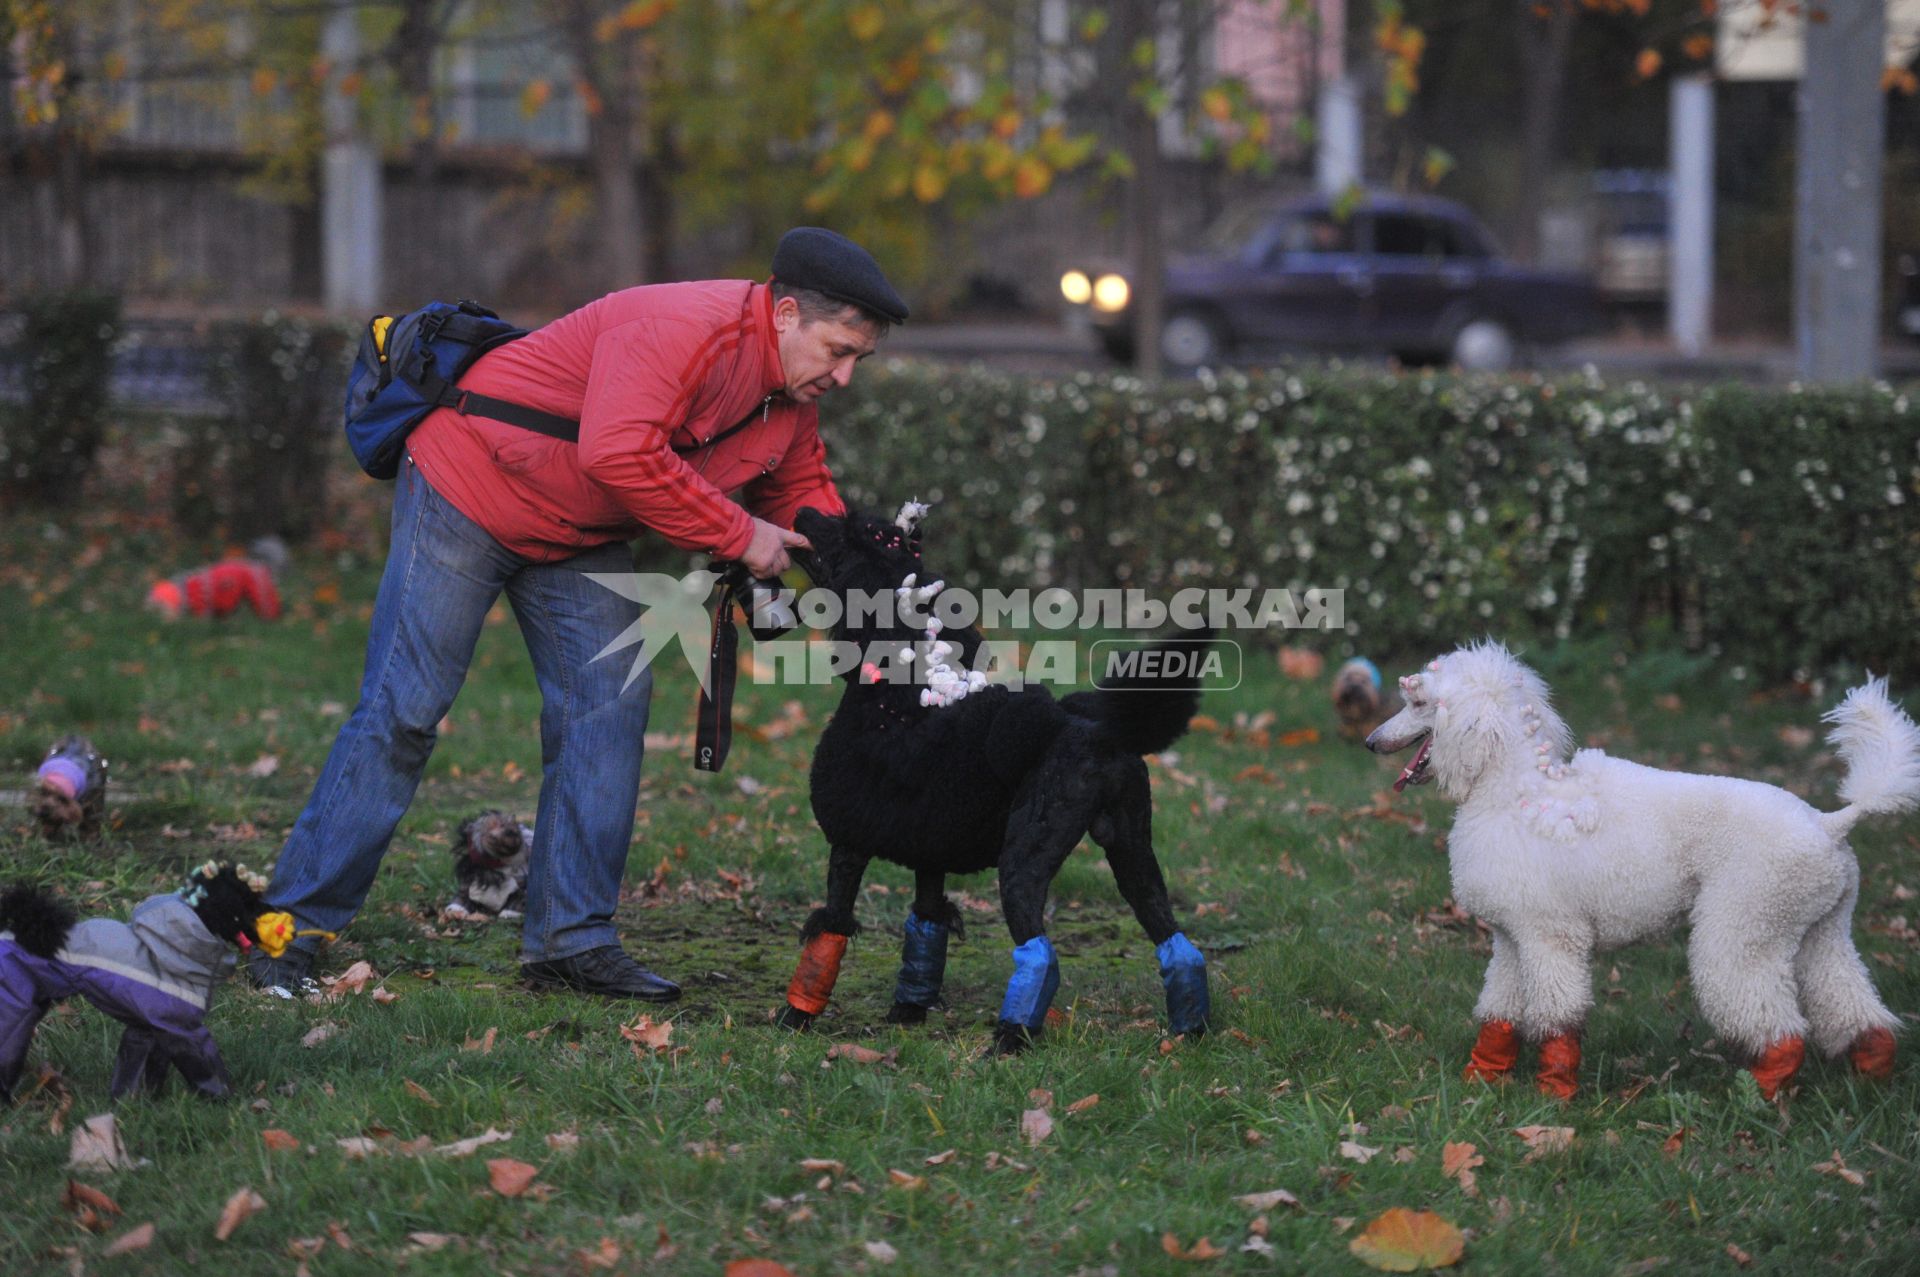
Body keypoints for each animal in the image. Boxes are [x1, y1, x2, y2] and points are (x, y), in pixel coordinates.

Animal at [0, 860, 276, 1098]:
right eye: (246, 906)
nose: (278, 916)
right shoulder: (182, 1029)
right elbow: (205, 1065)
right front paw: (225, 1098)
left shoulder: (149, 1029)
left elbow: (140, 1069)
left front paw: (136, 1103)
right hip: (14, 1009)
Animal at [768, 499, 1205, 1044]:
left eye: (852, 537)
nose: (804, 512)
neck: (898, 698)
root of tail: (1102, 733)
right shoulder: (928, 856)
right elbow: (927, 924)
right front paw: (908, 1012)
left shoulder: (848, 845)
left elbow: (831, 926)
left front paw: (795, 1017)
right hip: (1133, 849)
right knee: (1173, 937)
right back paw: (1190, 1032)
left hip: (1024, 858)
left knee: (1040, 952)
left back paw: (1009, 1041)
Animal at [1374, 641, 1912, 1098]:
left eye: (1418, 703)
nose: (1370, 741)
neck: (1517, 792)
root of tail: (1830, 823)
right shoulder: (1512, 937)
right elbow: (1499, 1015)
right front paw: (1481, 1079)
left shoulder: (1552, 936)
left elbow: (1559, 1017)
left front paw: (1553, 1095)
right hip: (1819, 930)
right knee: (1856, 1010)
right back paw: (1872, 1087)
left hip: (1744, 926)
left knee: (1780, 1030)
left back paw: (1757, 1101)